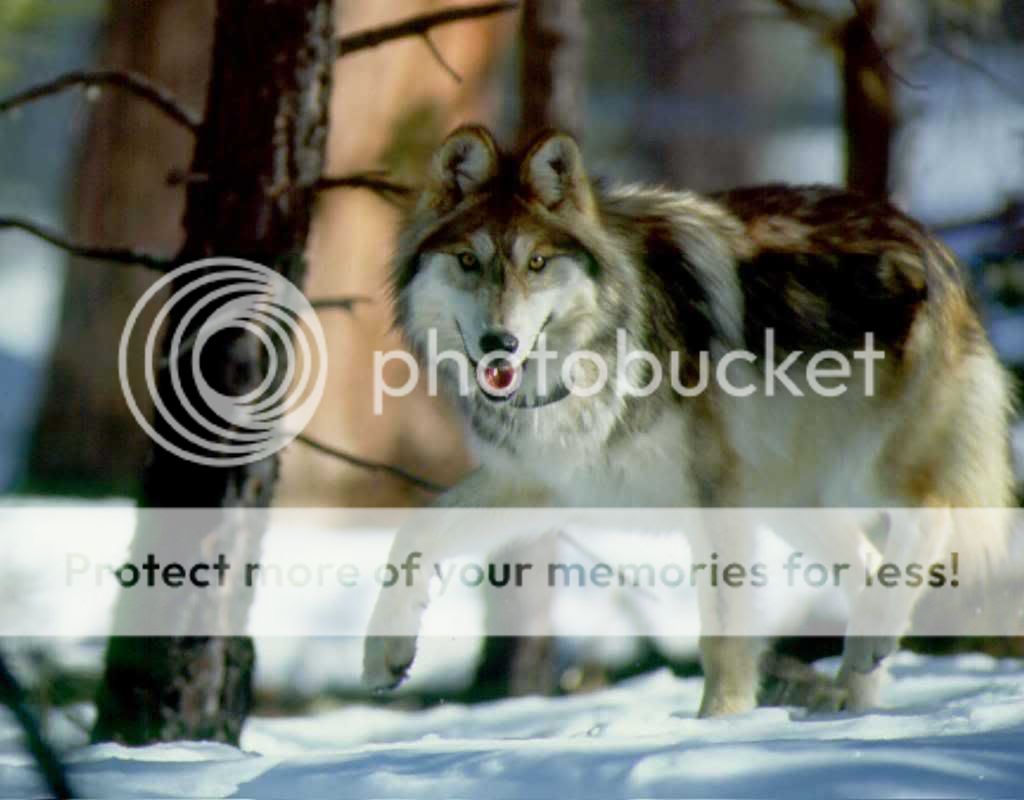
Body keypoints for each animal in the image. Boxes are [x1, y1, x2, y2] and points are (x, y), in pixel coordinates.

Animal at [363, 125, 1013, 716]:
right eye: (468, 262)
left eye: (538, 263)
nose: (500, 343)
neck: (591, 362)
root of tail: (930, 242)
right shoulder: (544, 482)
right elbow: (410, 534)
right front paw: (382, 658)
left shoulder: (712, 493)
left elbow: (723, 633)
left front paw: (717, 724)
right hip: (788, 500)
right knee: (871, 567)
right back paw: (855, 695)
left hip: (865, 470)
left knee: (931, 515)